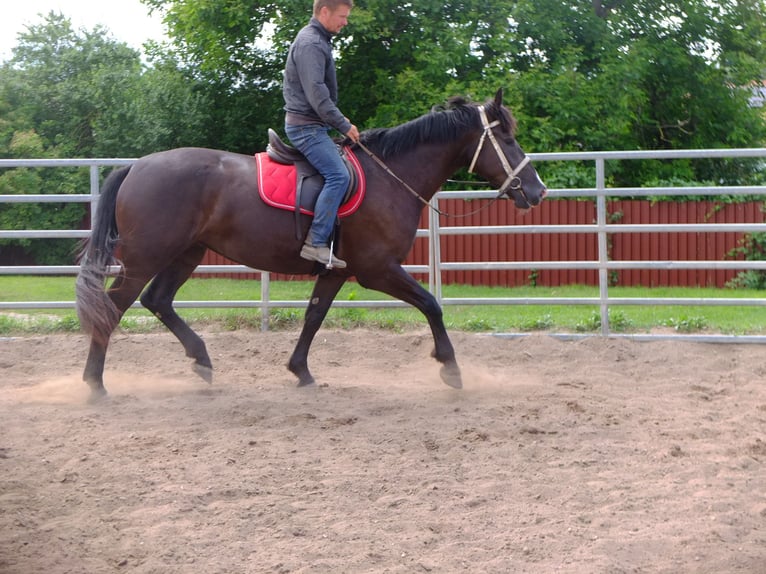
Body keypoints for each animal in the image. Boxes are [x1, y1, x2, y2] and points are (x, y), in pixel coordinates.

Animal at [76, 89, 544, 404]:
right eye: (507, 139)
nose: (537, 190)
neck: (389, 178)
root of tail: (138, 166)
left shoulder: (338, 271)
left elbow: (314, 317)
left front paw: (299, 370)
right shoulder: (377, 270)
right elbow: (431, 304)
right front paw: (451, 368)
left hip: (185, 254)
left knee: (157, 301)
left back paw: (201, 360)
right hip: (146, 258)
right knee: (112, 309)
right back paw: (95, 384)